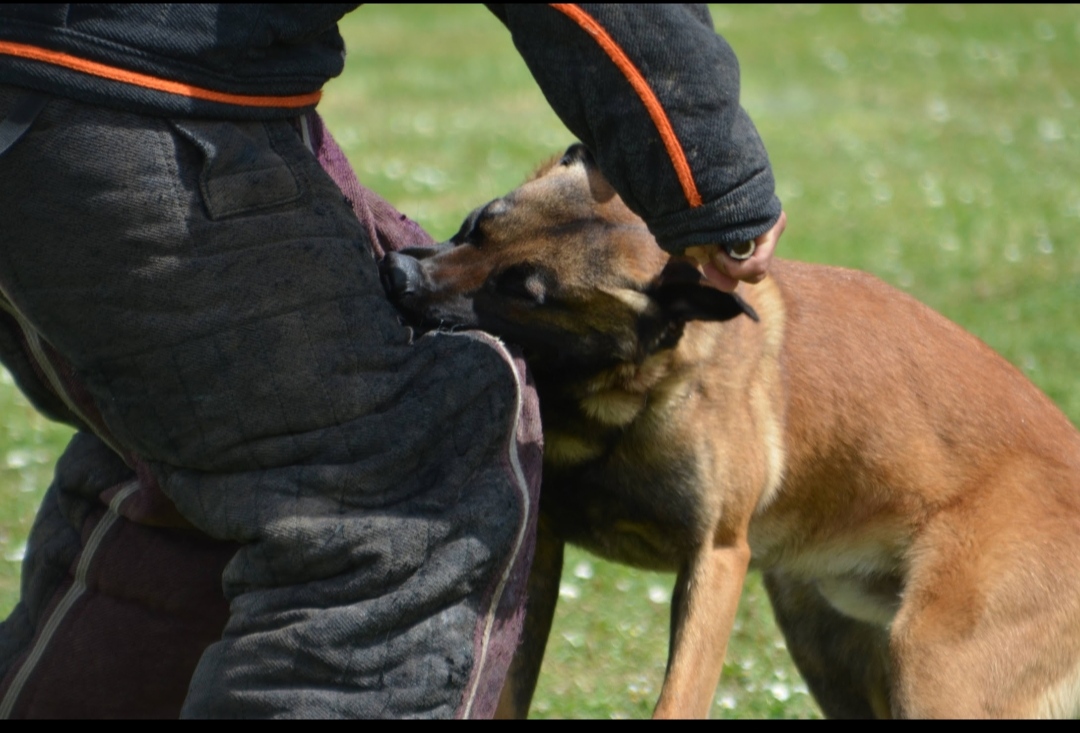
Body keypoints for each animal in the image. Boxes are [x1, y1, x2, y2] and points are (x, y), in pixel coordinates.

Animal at [378, 144, 1080, 721]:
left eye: (524, 293)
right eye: (476, 224)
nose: (398, 277)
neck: (624, 401)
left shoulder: (715, 560)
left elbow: (677, 701)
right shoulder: (544, 548)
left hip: (933, 661)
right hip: (828, 637)